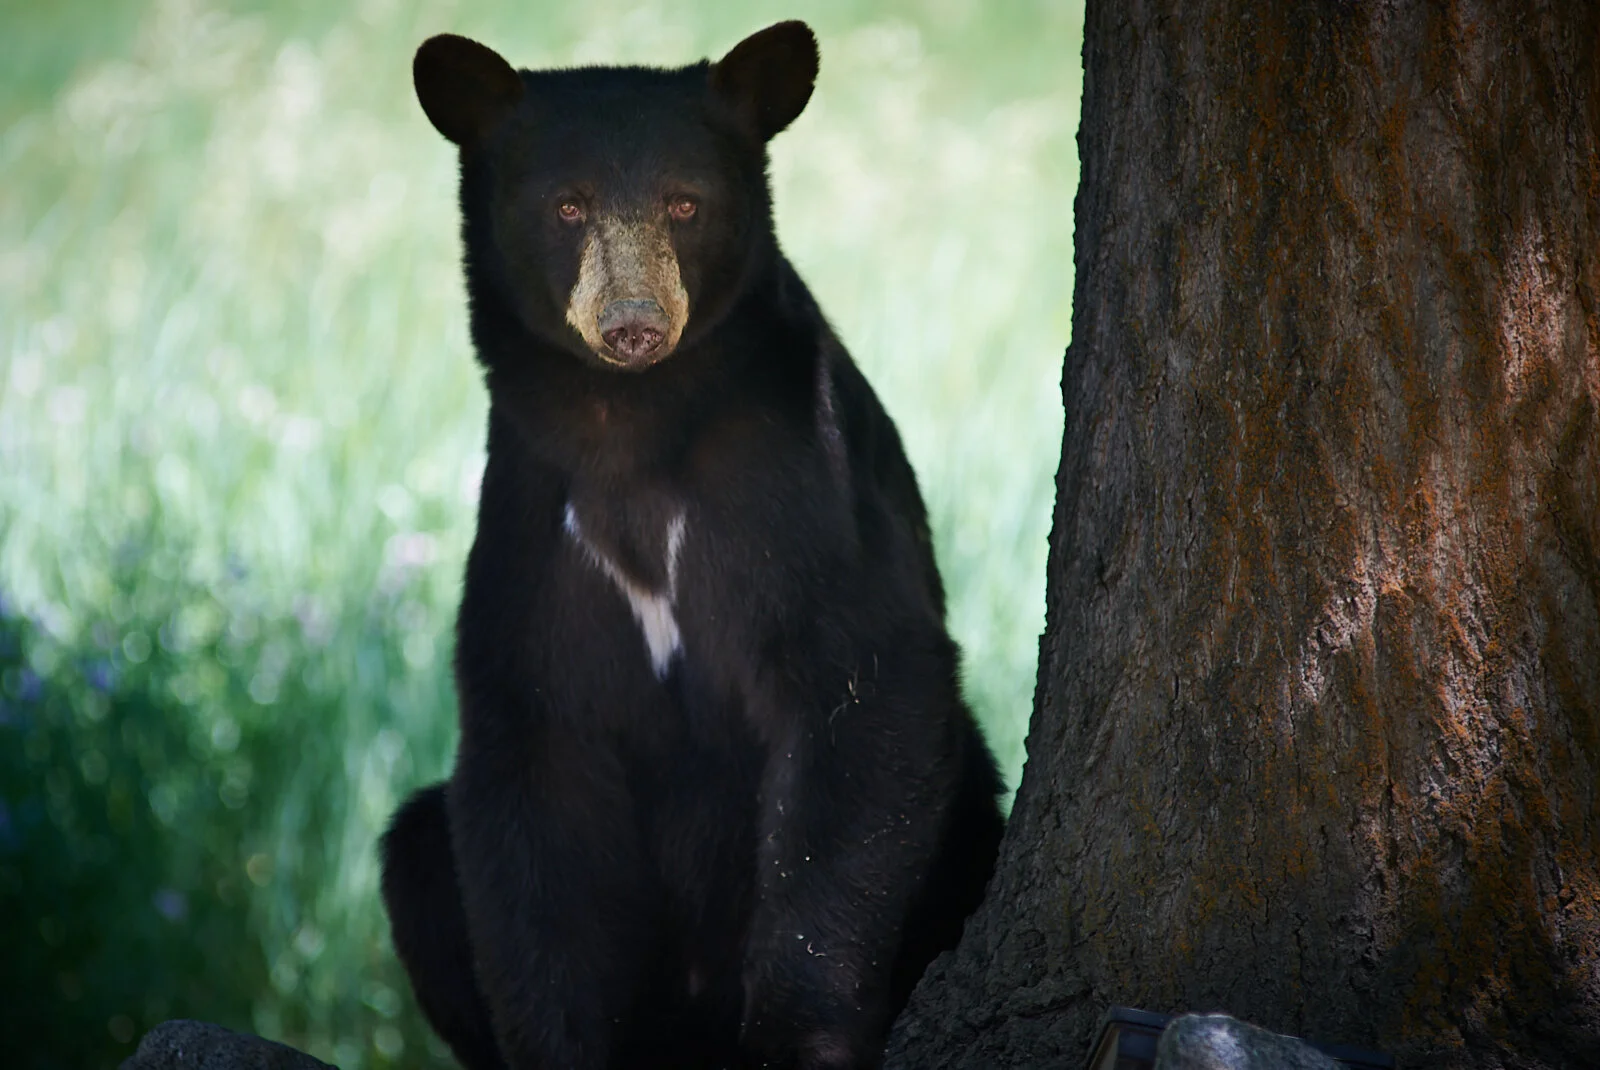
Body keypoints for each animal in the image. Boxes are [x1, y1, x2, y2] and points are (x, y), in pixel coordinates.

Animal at [378, 21, 1003, 1070]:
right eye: (568, 204)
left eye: (685, 202)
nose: (634, 325)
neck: (629, 424)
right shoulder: (530, 528)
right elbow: (534, 773)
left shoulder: (796, 488)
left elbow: (862, 689)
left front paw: (793, 1038)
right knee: (418, 851)